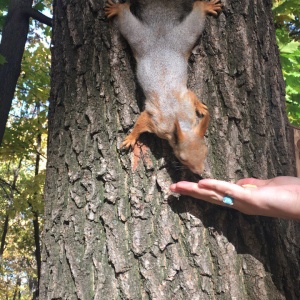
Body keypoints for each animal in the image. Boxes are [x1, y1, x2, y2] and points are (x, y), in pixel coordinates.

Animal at [104, 0, 221, 175]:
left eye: (205, 151)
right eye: (182, 158)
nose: (200, 172)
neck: (181, 123)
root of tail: (161, 33)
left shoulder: (185, 97)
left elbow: (192, 95)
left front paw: (200, 106)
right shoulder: (156, 122)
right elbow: (140, 123)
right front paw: (131, 138)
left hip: (183, 37)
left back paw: (205, 6)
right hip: (141, 38)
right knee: (127, 21)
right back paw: (117, 8)